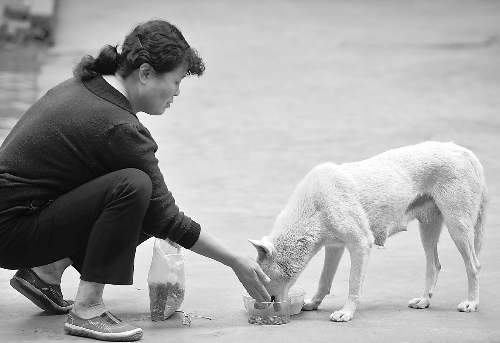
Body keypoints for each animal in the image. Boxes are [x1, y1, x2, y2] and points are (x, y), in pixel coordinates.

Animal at [250, 142, 488, 322]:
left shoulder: (361, 244)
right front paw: (314, 303)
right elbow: (324, 280)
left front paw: (346, 313)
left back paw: (472, 303)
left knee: (474, 265)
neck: (314, 206)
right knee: (434, 265)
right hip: (428, 228)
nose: (256, 307)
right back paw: (424, 300)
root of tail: (466, 153)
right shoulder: (334, 247)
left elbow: (353, 284)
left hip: (458, 226)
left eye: (260, 278)